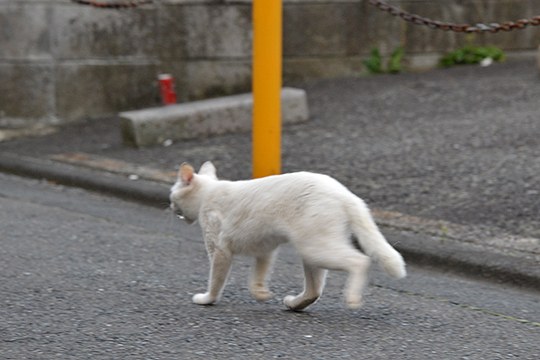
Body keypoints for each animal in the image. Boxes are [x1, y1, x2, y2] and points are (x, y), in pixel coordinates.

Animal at [171, 162, 408, 310]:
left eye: (173, 196)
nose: (172, 208)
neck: (207, 193)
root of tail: (346, 195)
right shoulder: (265, 250)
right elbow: (258, 274)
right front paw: (260, 293)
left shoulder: (219, 251)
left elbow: (216, 280)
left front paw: (207, 299)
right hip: (311, 252)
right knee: (314, 290)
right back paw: (294, 304)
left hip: (315, 247)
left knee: (360, 261)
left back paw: (352, 298)